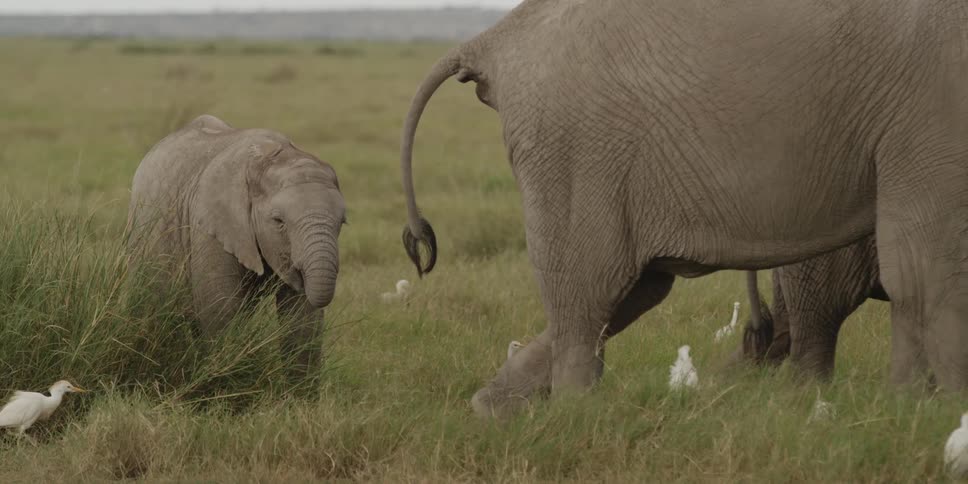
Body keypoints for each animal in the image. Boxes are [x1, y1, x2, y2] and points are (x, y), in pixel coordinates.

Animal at [126, 114, 345, 381]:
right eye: (279, 222)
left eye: (342, 223)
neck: (272, 158)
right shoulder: (211, 224)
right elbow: (220, 307)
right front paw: (224, 381)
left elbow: (302, 320)